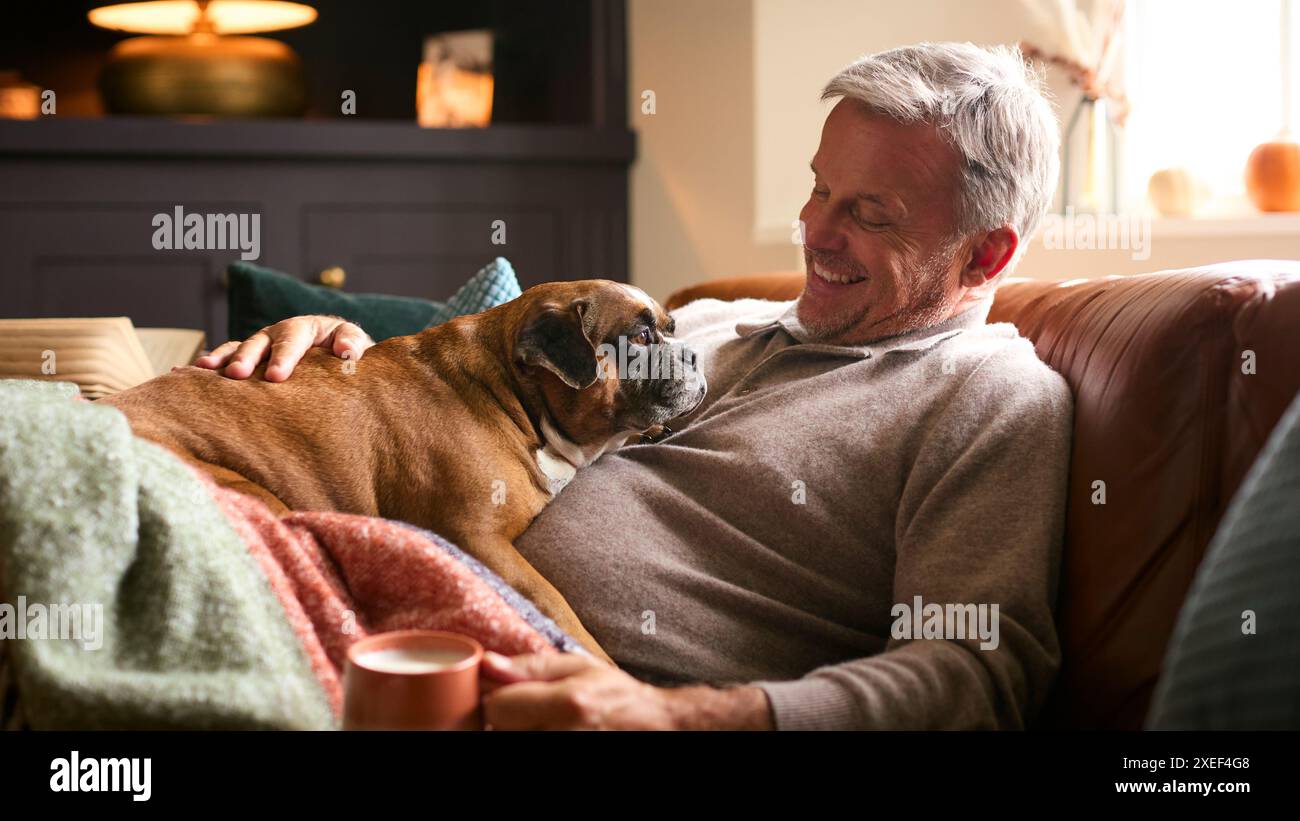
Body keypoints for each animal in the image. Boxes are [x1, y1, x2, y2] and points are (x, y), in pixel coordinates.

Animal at [102, 279, 707, 665]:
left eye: (671, 328)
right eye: (643, 338)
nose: (694, 355)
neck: (513, 391)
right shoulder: (479, 542)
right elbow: (558, 607)